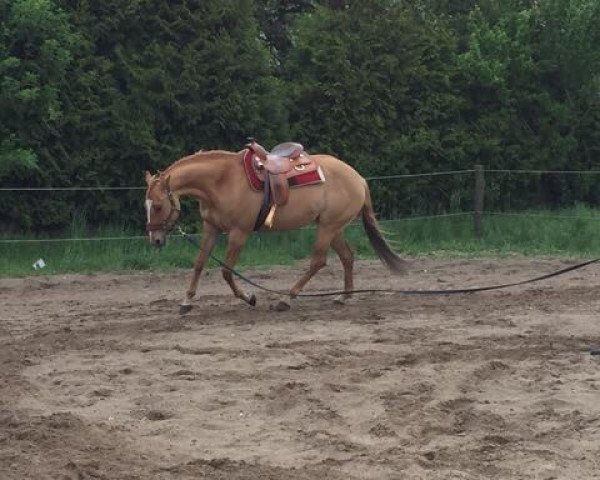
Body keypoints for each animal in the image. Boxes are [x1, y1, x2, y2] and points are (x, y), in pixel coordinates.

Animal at [145, 141, 408, 314]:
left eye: (157, 206)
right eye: (145, 205)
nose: (155, 239)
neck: (223, 180)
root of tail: (358, 178)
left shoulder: (239, 233)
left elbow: (226, 271)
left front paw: (248, 298)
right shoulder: (211, 227)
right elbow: (199, 264)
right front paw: (186, 302)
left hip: (328, 228)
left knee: (318, 262)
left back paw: (287, 300)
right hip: (332, 227)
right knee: (347, 257)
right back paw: (344, 297)